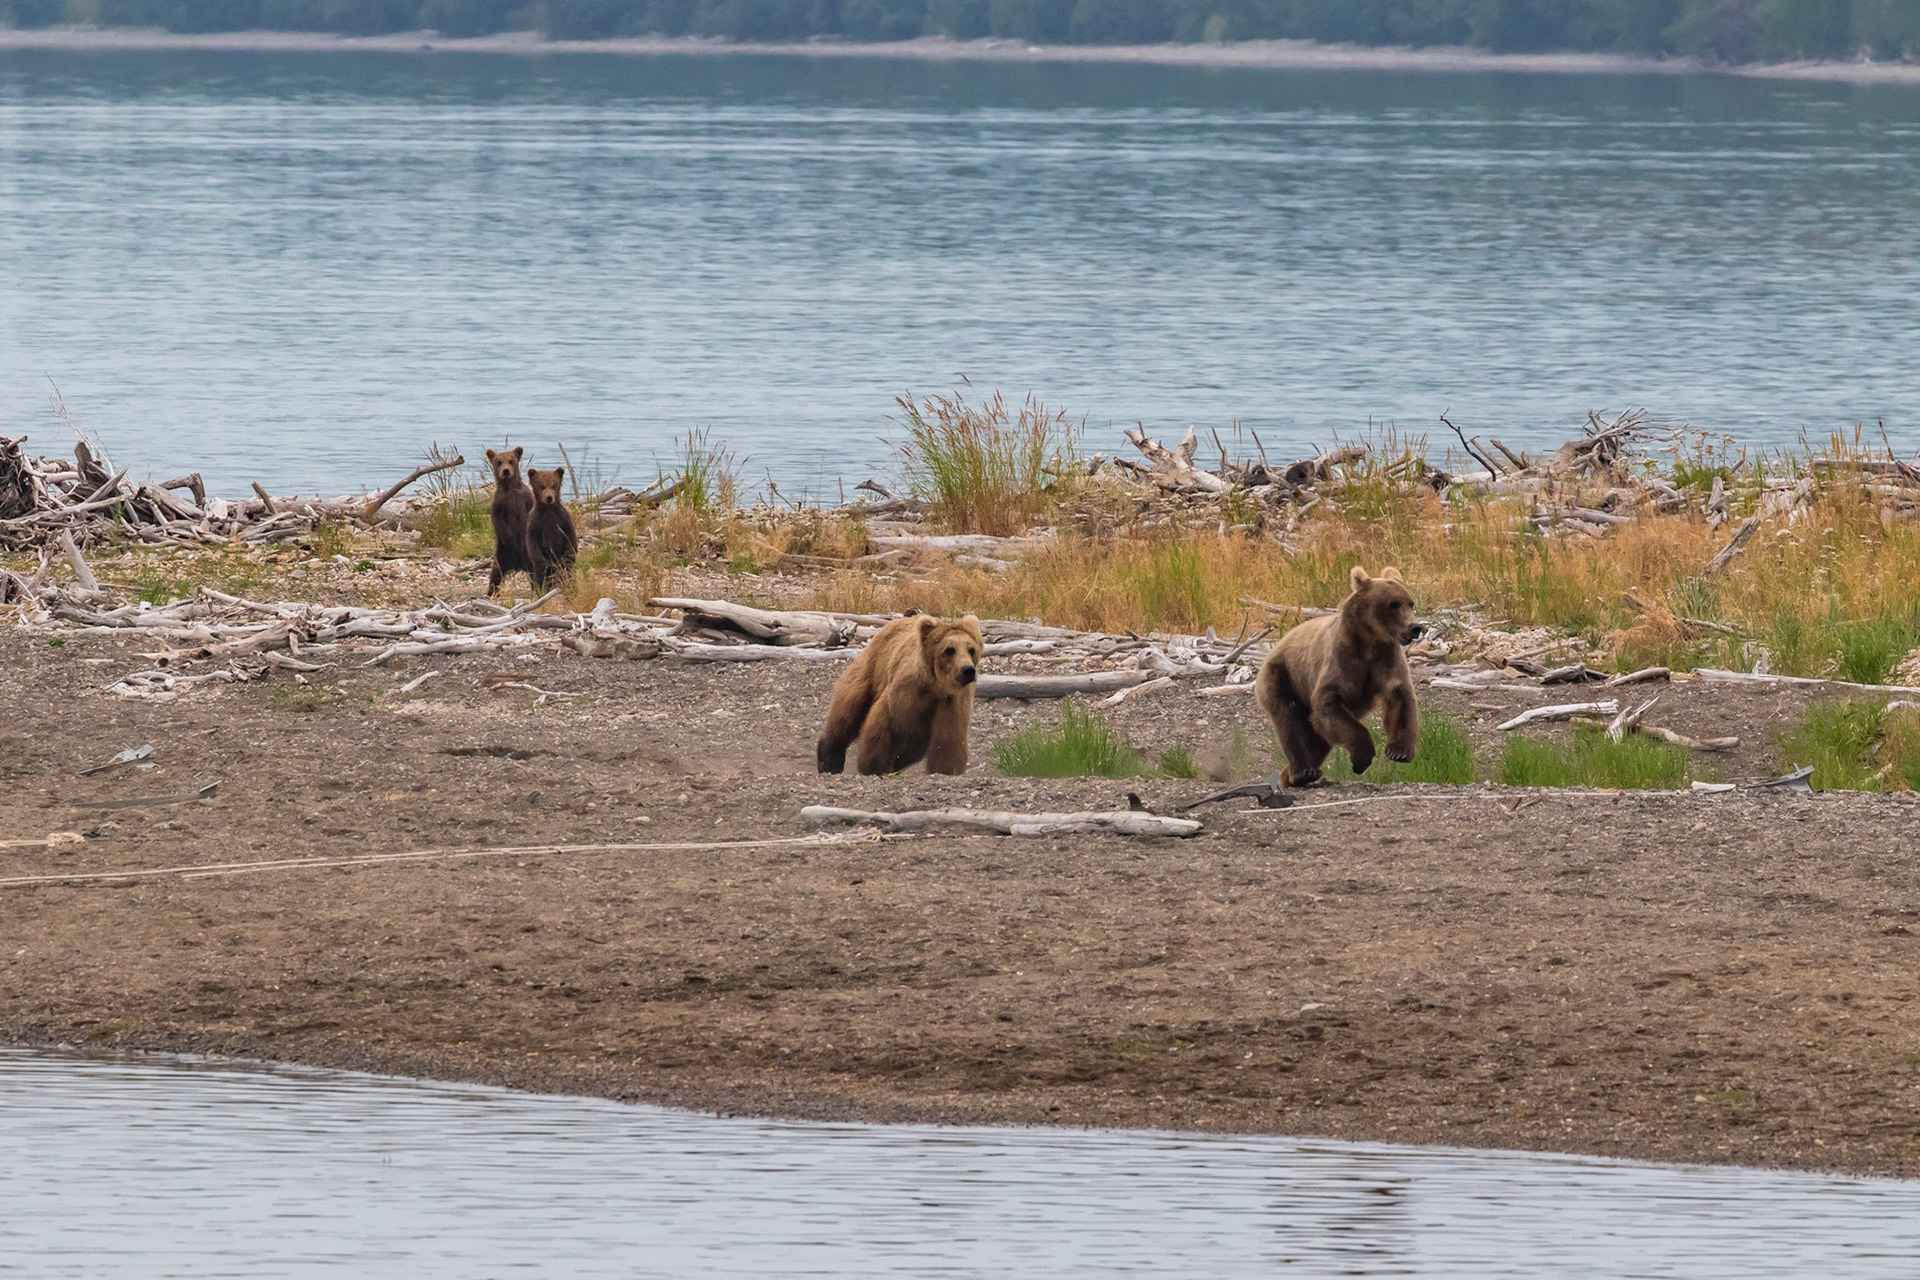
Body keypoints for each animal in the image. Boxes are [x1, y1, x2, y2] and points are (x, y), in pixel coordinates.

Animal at [484, 446, 535, 596]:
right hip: (502, 554)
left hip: (529, 555)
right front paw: (510, 537)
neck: (510, 488)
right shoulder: (500, 503)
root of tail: (518, 565)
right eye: (499, 462)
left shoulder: (525, 498)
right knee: (495, 574)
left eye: (511, 461)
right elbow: (498, 520)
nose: (506, 471)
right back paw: (490, 592)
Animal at [817, 613, 984, 776]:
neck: (935, 686)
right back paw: (829, 761)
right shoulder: (905, 692)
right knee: (847, 711)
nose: (967, 670)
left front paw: (946, 770)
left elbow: (947, 740)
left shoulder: (951, 702)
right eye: (949, 649)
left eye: (971, 649)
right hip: (872, 670)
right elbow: (883, 725)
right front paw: (874, 766)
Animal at [1254, 566, 1423, 788]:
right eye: (1393, 604)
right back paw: (1303, 772)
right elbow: (1328, 701)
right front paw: (1361, 758)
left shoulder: (1386, 659)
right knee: (1289, 723)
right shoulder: (1342, 659)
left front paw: (1398, 751)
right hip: (1282, 677)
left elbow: (1400, 697)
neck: (1370, 642)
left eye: (1410, 603)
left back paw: (1289, 775)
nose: (1415, 627)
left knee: (1317, 737)